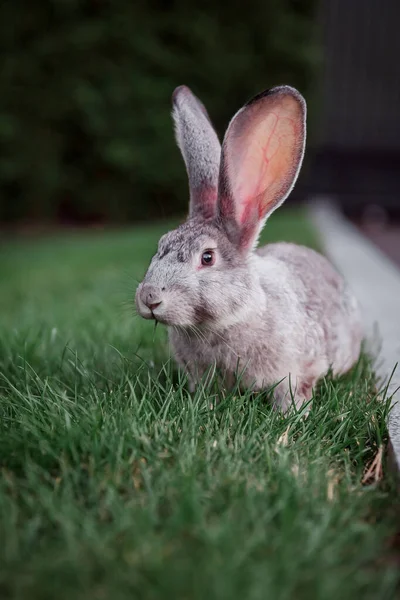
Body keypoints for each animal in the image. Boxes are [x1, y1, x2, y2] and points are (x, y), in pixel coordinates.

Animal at [135, 84, 362, 412]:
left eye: (207, 257)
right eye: (161, 245)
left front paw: (290, 416)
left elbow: (292, 392)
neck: (226, 321)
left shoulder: (295, 370)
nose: (150, 298)